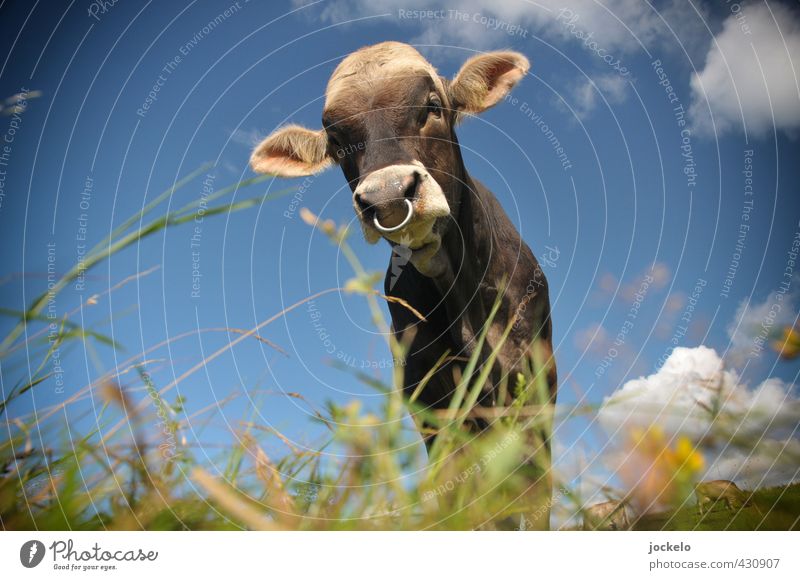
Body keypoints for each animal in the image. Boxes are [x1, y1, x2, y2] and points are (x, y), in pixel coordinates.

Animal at [250, 40, 556, 532]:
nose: (389, 195)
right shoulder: (430, 403)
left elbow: (533, 494)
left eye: (431, 106)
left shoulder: (530, 382)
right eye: (338, 143)